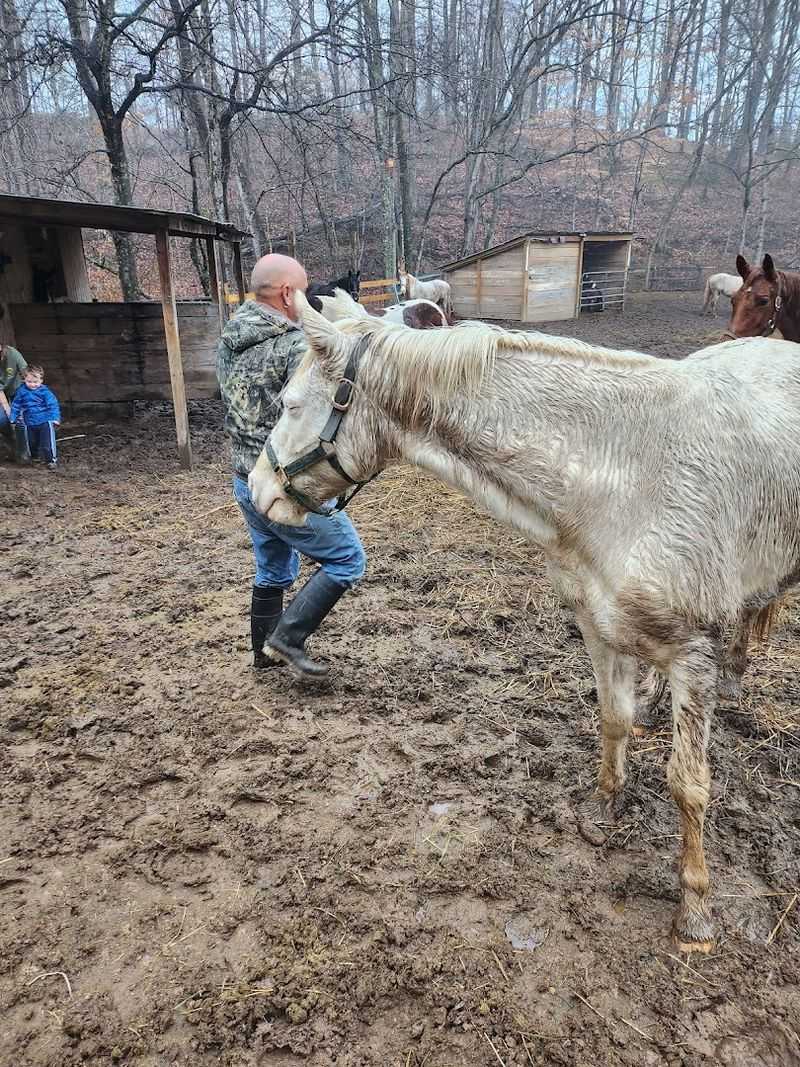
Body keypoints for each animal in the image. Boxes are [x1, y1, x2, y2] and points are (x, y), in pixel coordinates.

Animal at [250, 295, 800, 953]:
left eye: (289, 404)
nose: (257, 490)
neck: (627, 475)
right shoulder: (598, 626)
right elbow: (614, 720)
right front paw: (604, 805)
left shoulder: (693, 653)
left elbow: (688, 782)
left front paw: (695, 908)